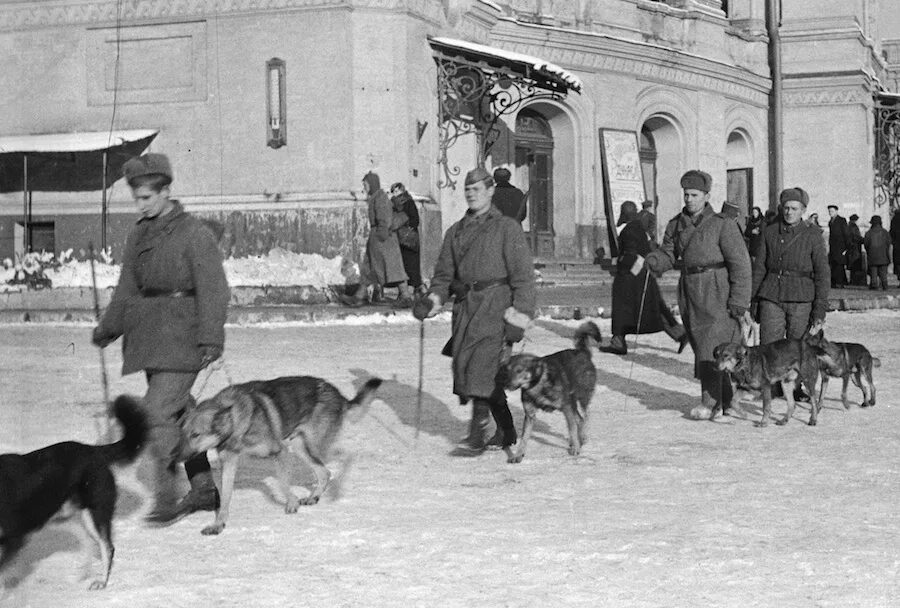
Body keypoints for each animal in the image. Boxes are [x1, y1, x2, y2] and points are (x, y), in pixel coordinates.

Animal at [0, 394, 147, 588]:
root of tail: (93, 449)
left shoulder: (13, 539)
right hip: (67, 515)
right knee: (89, 543)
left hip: (94, 514)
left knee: (107, 547)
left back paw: (101, 581)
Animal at [181, 372, 382, 536]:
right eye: (184, 433)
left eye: (196, 434)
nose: (177, 456)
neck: (236, 420)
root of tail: (339, 395)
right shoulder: (229, 463)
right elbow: (225, 497)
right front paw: (218, 525)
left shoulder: (280, 451)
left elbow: (283, 483)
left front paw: (291, 503)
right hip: (301, 447)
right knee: (324, 472)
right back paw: (313, 497)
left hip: (314, 445)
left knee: (341, 458)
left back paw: (336, 486)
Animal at [496, 320, 600, 464]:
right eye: (507, 370)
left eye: (519, 370)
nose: (506, 384)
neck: (537, 385)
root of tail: (583, 352)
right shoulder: (530, 415)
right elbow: (524, 438)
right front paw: (518, 455)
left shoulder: (566, 407)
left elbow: (571, 428)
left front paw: (575, 449)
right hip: (572, 401)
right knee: (579, 419)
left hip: (582, 397)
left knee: (584, 417)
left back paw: (582, 438)